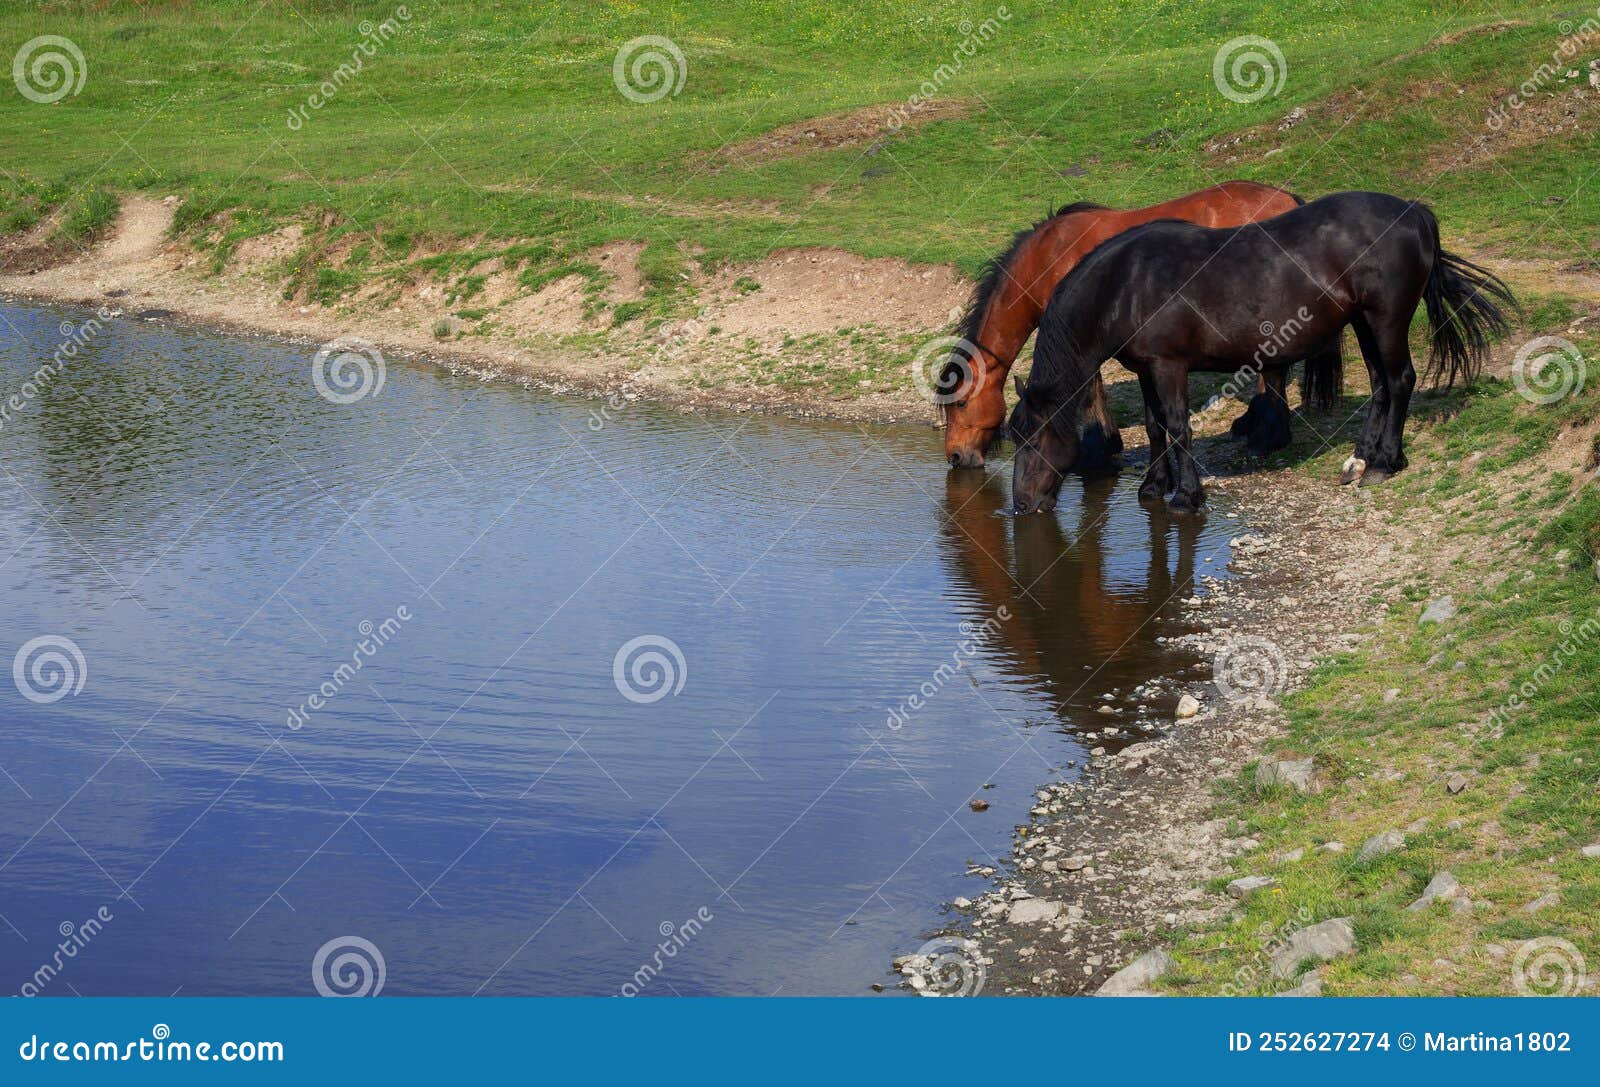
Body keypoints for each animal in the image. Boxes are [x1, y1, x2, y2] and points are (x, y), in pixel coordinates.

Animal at [937, 180, 1345, 469]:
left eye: (961, 404)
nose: (955, 457)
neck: (1048, 260)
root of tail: (1287, 200)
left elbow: (1091, 390)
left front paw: (1099, 449)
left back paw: (1263, 432)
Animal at [1009, 191, 1516, 515]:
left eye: (1032, 438)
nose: (1022, 504)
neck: (1127, 284)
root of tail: (1413, 212)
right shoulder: (1145, 369)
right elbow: (1155, 427)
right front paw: (1155, 485)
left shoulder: (1169, 367)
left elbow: (1178, 426)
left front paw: (1187, 496)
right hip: (1362, 322)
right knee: (1379, 386)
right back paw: (1360, 458)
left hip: (1386, 319)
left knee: (1399, 380)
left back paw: (1385, 462)